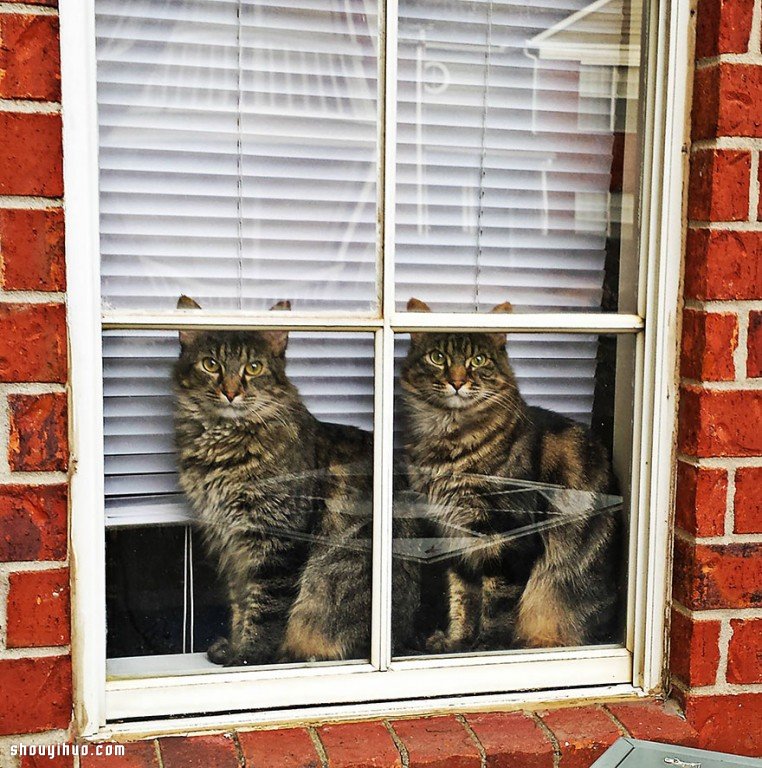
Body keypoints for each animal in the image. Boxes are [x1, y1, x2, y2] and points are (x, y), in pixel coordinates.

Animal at [173, 296, 418, 664]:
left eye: (253, 368)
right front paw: (232, 646)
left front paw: (247, 656)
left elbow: (264, 610)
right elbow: (240, 603)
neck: (223, 445)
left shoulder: (275, 540)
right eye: (211, 364)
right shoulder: (233, 544)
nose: (231, 391)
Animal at [398, 296, 616, 652]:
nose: (457, 381)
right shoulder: (454, 536)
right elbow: (462, 600)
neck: (448, 442)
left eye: (478, 360)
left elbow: (495, 609)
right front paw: (457, 643)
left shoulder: (507, 537)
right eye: (438, 357)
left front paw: (485, 650)